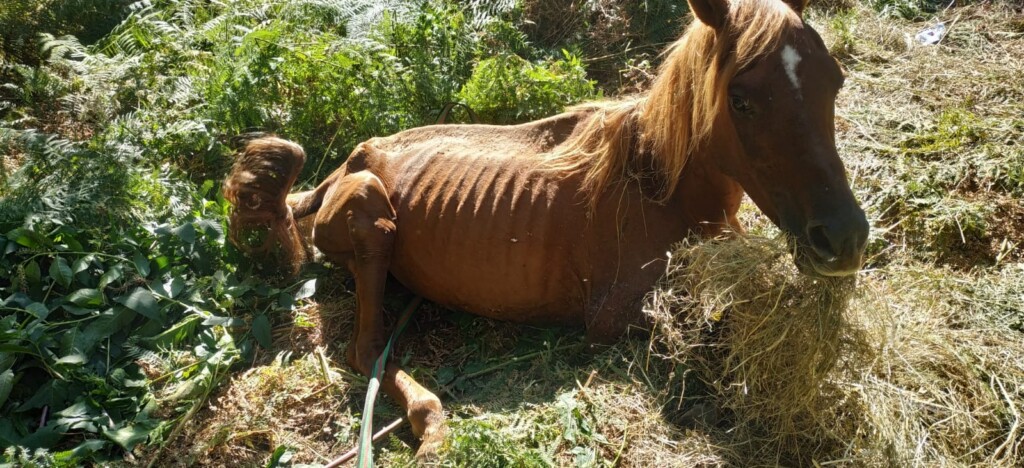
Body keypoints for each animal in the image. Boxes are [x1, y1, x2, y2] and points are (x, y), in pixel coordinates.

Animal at [223, 0, 868, 460]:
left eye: (834, 80)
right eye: (741, 100)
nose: (844, 240)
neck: (656, 182)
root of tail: (347, 165)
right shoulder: (614, 316)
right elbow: (709, 331)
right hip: (371, 217)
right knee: (366, 350)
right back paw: (432, 421)